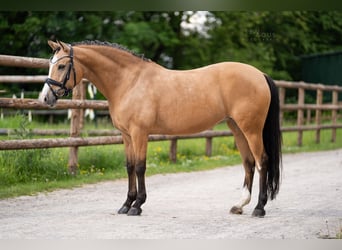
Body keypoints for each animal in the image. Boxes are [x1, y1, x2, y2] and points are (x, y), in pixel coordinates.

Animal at [39, 40, 280, 217]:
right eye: (51, 64)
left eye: (61, 66)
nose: (45, 98)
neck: (130, 81)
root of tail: (260, 75)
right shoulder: (126, 136)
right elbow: (129, 167)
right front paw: (126, 204)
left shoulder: (140, 133)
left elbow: (140, 167)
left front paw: (137, 206)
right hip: (237, 128)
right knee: (249, 163)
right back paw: (239, 205)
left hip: (251, 130)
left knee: (262, 161)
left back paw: (259, 208)